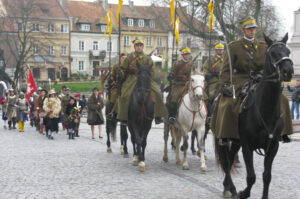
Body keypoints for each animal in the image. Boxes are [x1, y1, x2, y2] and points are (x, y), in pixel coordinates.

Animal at [216, 33, 292, 198]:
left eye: (288, 51)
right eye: (272, 53)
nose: (288, 71)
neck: (266, 110)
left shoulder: (273, 147)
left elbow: (267, 176)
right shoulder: (247, 147)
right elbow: (251, 177)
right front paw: (243, 193)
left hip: (235, 142)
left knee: (229, 160)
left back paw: (228, 187)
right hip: (223, 137)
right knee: (226, 162)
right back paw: (230, 188)